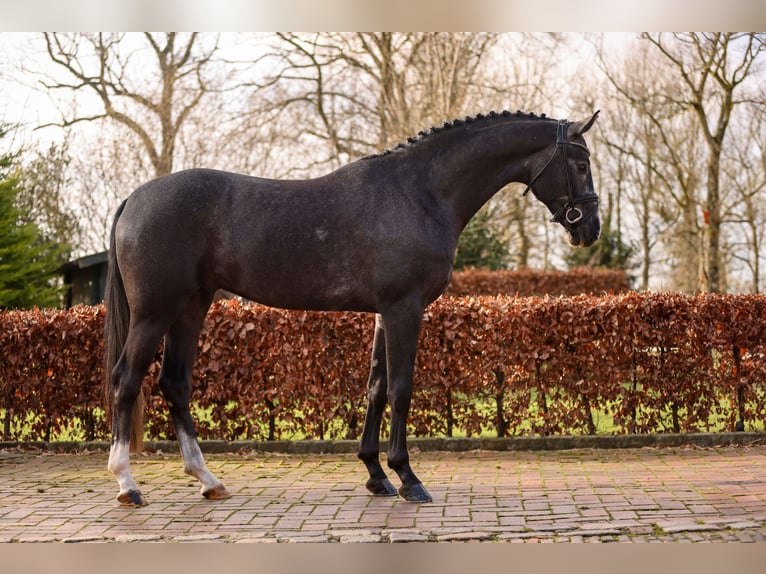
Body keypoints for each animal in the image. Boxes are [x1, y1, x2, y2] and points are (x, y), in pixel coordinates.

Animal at [104, 110, 601, 506]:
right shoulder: (405, 308)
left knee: (175, 384)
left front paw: (376, 475)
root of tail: (133, 199)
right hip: (154, 313)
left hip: (191, 307)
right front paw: (408, 478)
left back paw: (208, 480)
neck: (420, 191)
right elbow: (400, 388)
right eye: (580, 164)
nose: (590, 229)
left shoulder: (385, 312)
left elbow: (375, 388)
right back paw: (128, 485)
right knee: (126, 381)